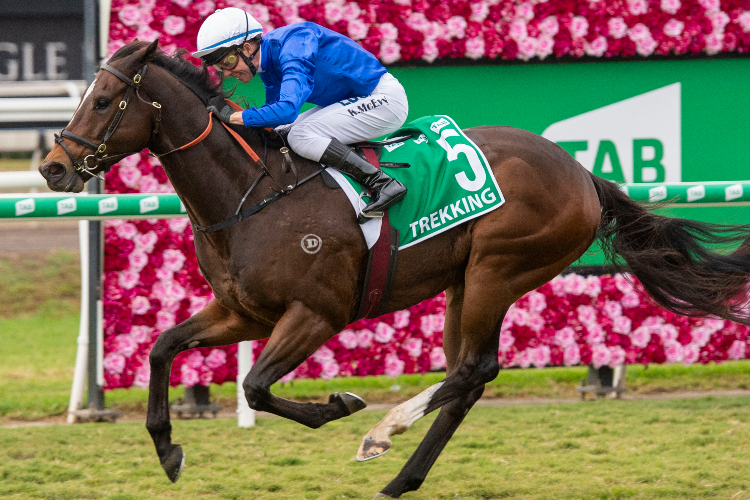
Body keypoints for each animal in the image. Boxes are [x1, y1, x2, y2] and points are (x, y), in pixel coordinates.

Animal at [38, 41, 750, 498]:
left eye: (104, 100)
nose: (52, 167)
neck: (251, 194)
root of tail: (581, 173)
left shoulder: (317, 314)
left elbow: (257, 388)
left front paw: (340, 404)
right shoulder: (243, 311)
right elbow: (162, 348)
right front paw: (168, 450)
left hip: (498, 268)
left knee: (473, 369)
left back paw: (383, 434)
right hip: (466, 282)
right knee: (469, 378)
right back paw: (400, 477)